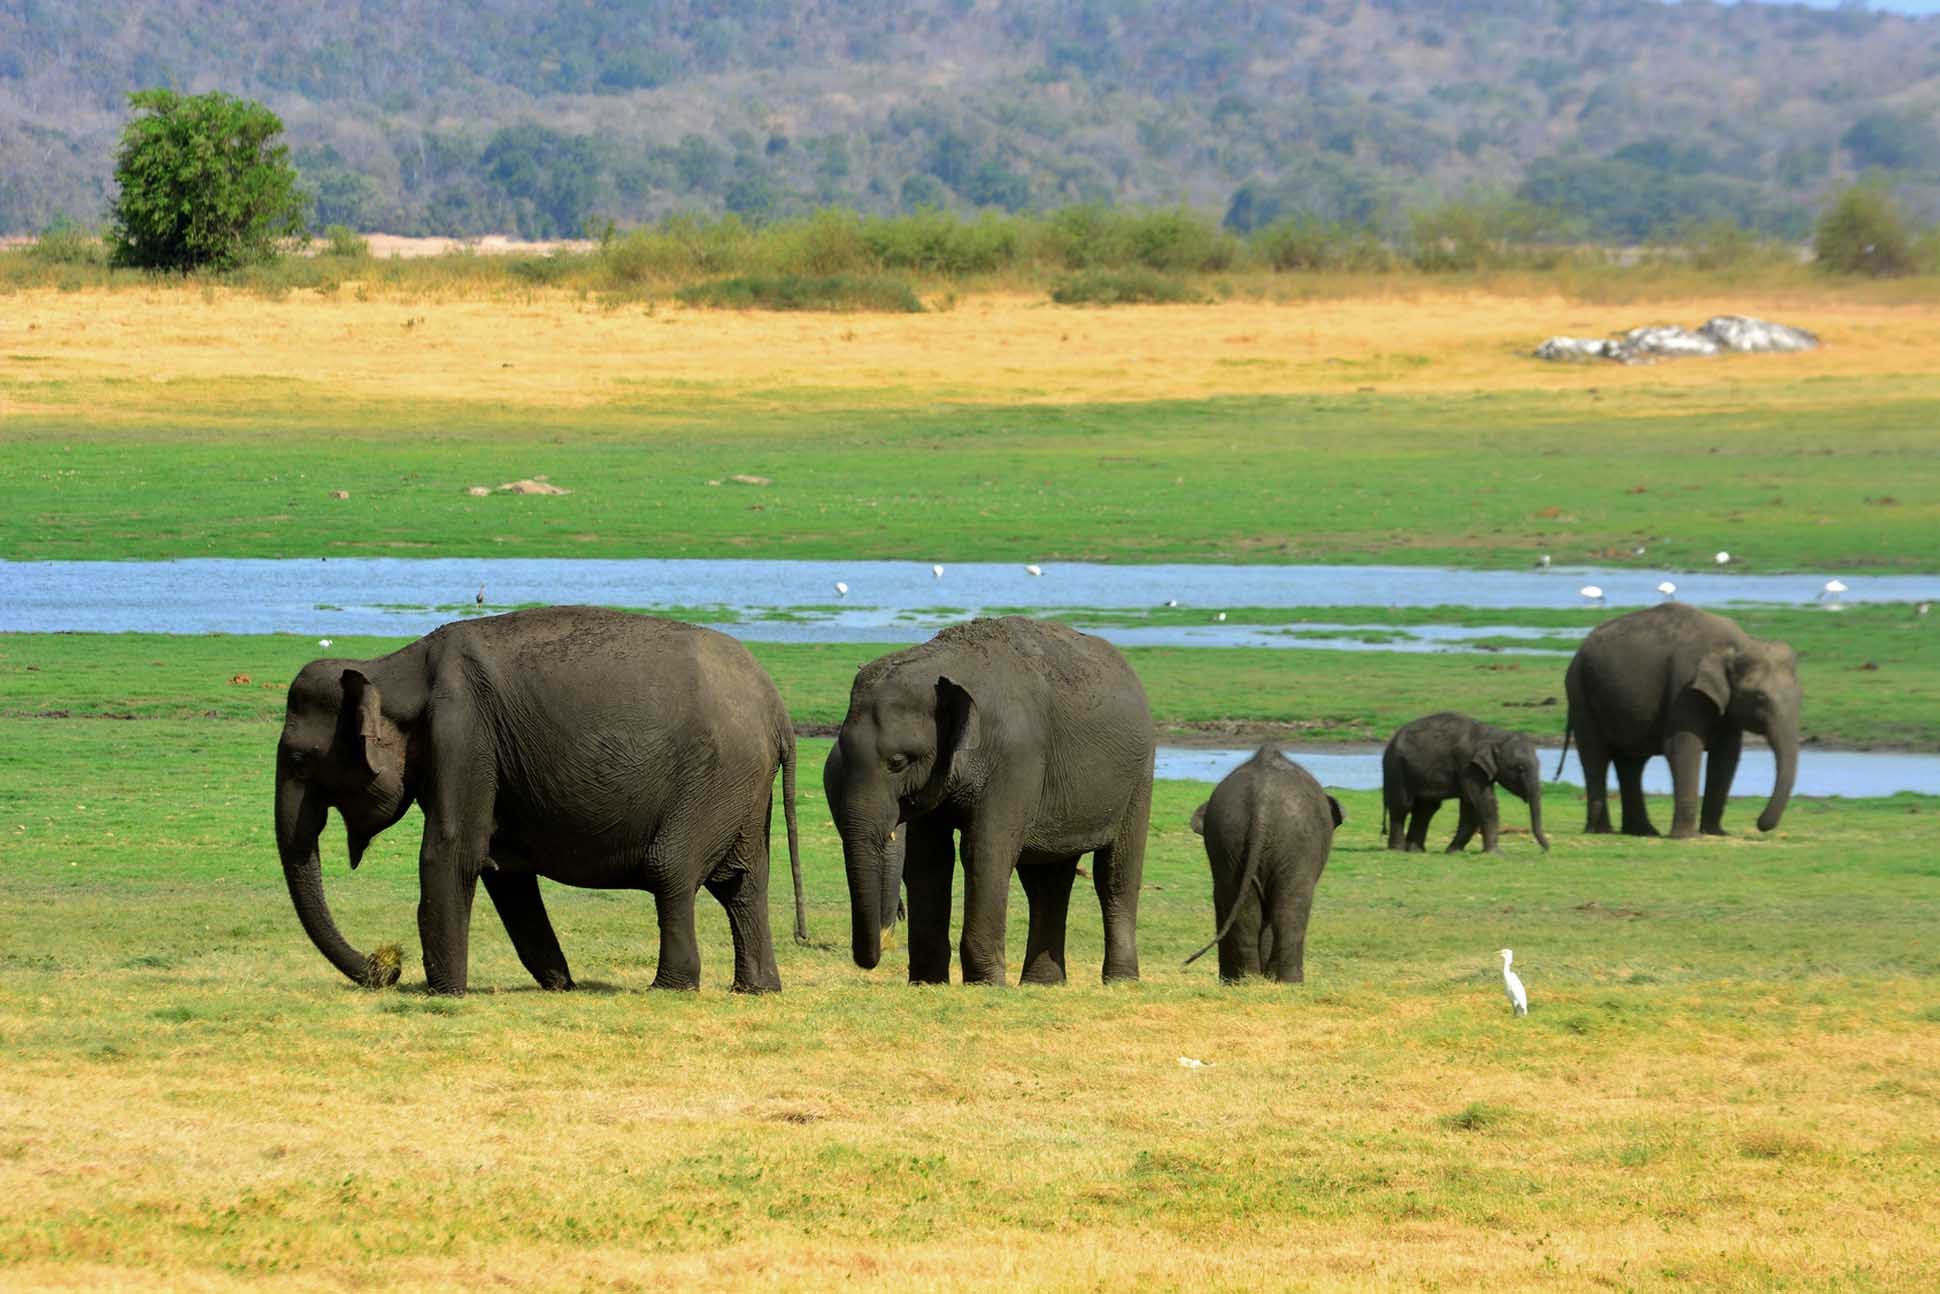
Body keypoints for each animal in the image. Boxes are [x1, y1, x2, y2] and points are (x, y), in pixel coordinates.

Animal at [274, 606, 805, 996]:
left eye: (299, 760)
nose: (388, 967)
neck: (395, 665)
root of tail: (777, 710)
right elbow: (505, 873)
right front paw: (560, 984)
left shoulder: (462, 733)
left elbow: (453, 852)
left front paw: (444, 994)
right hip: (742, 791)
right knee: (742, 885)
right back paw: (757, 989)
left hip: (714, 779)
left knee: (670, 868)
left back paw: (669, 988)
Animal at [830, 616, 1155, 986]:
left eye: (898, 762)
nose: (873, 958)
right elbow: (929, 857)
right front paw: (928, 983)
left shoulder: (1016, 758)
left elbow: (983, 851)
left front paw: (985, 984)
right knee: (1046, 879)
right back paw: (1042, 983)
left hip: (1139, 776)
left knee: (1114, 874)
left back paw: (1120, 980)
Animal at [1184, 747, 1341, 984]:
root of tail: (1261, 805)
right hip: (1295, 845)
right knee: (1290, 906)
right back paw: (1287, 980)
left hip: (1231, 840)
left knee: (1245, 909)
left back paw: (1247, 979)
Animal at [1380, 712, 1549, 853]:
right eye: (1520, 769)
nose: (1546, 850)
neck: (1495, 735)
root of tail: (1390, 741)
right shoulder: (1469, 766)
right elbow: (1483, 802)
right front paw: (1495, 854)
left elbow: (1470, 805)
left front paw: (1453, 852)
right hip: (1396, 768)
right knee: (1402, 806)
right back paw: (1397, 850)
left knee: (1425, 809)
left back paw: (1416, 850)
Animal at [1561, 603, 1800, 838]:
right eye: (1760, 697)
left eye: (1800, 696)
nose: (1759, 824)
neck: (1740, 644)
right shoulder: (1685, 688)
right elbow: (1681, 746)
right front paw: (1687, 837)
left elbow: (1727, 754)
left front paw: (1716, 833)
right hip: (1580, 693)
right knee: (1595, 755)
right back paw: (1601, 831)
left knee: (1631, 763)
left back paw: (1643, 832)